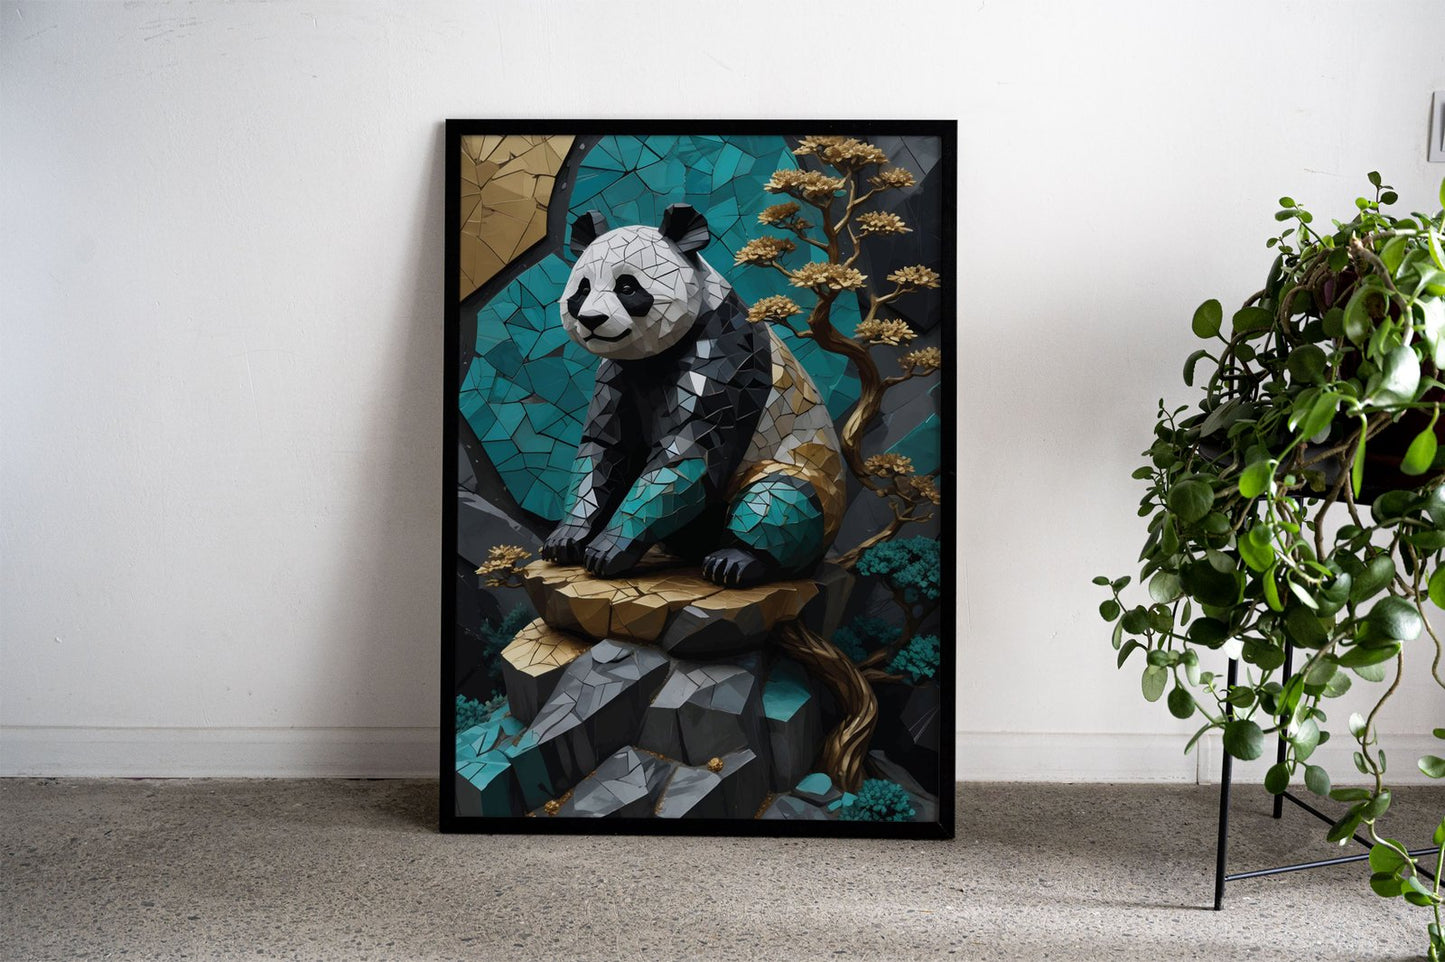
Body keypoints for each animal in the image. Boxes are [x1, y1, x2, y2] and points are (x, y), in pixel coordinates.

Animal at [540, 203, 846, 588]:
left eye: (627, 287)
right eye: (581, 289)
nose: (592, 319)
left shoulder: (726, 352)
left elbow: (688, 454)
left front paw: (606, 549)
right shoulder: (619, 371)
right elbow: (605, 448)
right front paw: (566, 538)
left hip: (808, 477)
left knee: (778, 495)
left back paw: (733, 560)